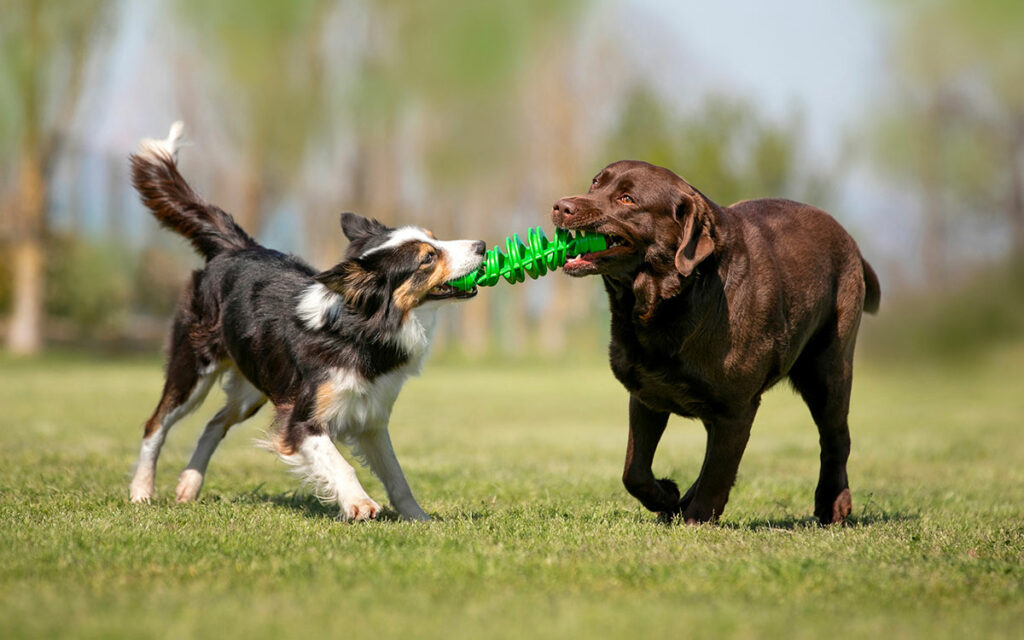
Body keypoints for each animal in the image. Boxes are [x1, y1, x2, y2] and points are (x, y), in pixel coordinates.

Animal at [126, 123, 483, 520]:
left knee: (214, 422)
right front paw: (359, 503)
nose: (482, 246)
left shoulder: (371, 418)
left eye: (436, 239)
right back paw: (141, 492)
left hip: (254, 386)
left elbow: (396, 474)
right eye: (428, 258)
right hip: (193, 368)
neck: (359, 330)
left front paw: (418, 517)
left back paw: (189, 486)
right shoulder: (300, 420)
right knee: (155, 424)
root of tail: (237, 247)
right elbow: (340, 463)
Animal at [552, 159, 880, 524]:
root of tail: (852, 242)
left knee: (835, 436)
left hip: (827, 370)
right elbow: (634, 471)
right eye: (595, 184)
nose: (561, 206)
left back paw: (833, 504)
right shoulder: (647, 396)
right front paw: (668, 495)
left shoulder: (737, 407)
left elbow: (718, 470)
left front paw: (696, 516)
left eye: (626, 199)